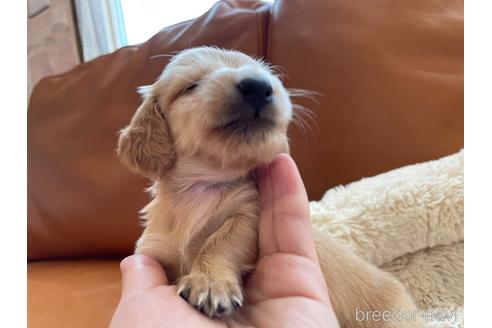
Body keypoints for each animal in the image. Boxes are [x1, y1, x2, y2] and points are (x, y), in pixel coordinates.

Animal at [117, 45, 420, 326]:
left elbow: (220, 242)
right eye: (190, 86)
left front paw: (210, 281)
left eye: (267, 74)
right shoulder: (154, 250)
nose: (258, 86)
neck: (201, 187)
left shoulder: (249, 213)